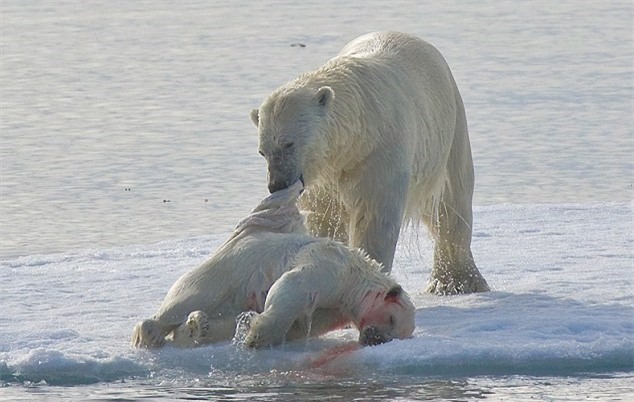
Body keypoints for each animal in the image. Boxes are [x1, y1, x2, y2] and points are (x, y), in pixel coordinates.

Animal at [130, 181, 412, 348]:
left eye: (398, 333)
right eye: (392, 319)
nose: (373, 338)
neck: (357, 277)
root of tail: (240, 235)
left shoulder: (336, 310)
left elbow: (301, 325)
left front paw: (248, 328)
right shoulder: (330, 266)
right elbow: (293, 287)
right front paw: (255, 337)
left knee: (217, 315)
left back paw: (197, 327)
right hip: (224, 271)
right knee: (187, 299)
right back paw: (152, 334)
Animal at [251, 32, 488, 296]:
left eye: (288, 143)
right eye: (263, 151)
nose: (277, 184)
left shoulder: (379, 151)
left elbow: (374, 216)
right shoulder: (325, 176)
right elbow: (324, 216)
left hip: (449, 132)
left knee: (451, 204)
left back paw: (457, 282)